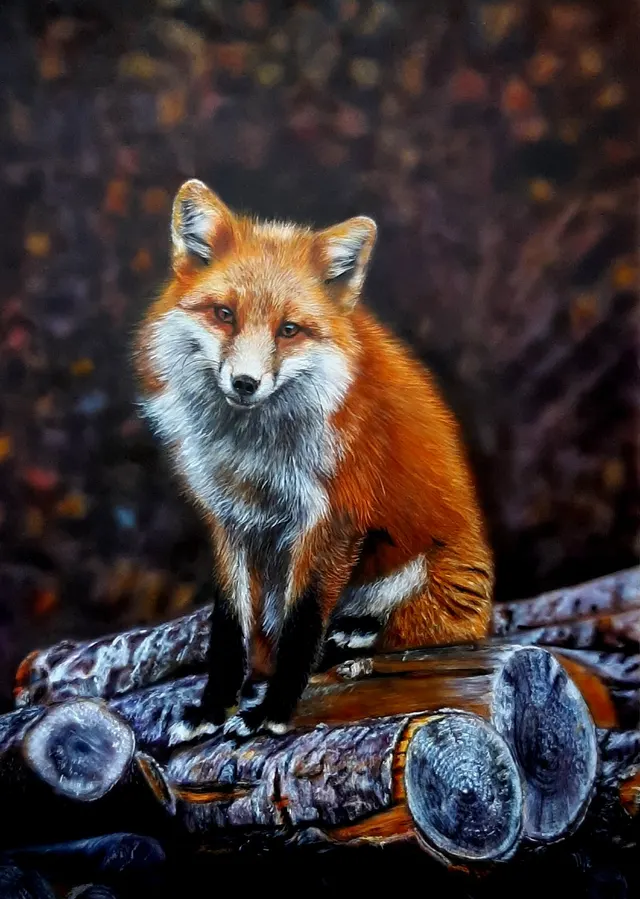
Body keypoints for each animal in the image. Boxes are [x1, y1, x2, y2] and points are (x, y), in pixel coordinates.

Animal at [133, 178, 494, 743]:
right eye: (224, 315)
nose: (245, 383)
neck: (253, 454)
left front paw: (273, 711)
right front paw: (214, 707)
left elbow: (301, 627)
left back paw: (356, 639)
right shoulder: (228, 520)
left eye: (289, 330)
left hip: (427, 583)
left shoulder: (331, 517)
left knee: (407, 630)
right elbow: (228, 629)